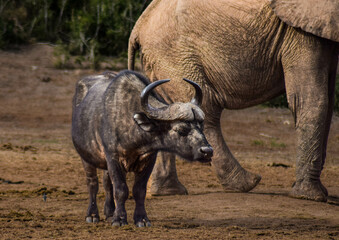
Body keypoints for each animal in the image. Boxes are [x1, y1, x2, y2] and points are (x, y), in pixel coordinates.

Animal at [128, 0, 339, 202]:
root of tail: (137, 28)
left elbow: (326, 99)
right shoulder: (298, 33)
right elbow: (312, 100)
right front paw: (311, 196)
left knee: (167, 112)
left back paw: (169, 192)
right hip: (175, 55)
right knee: (205, 110)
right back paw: (247, 183)